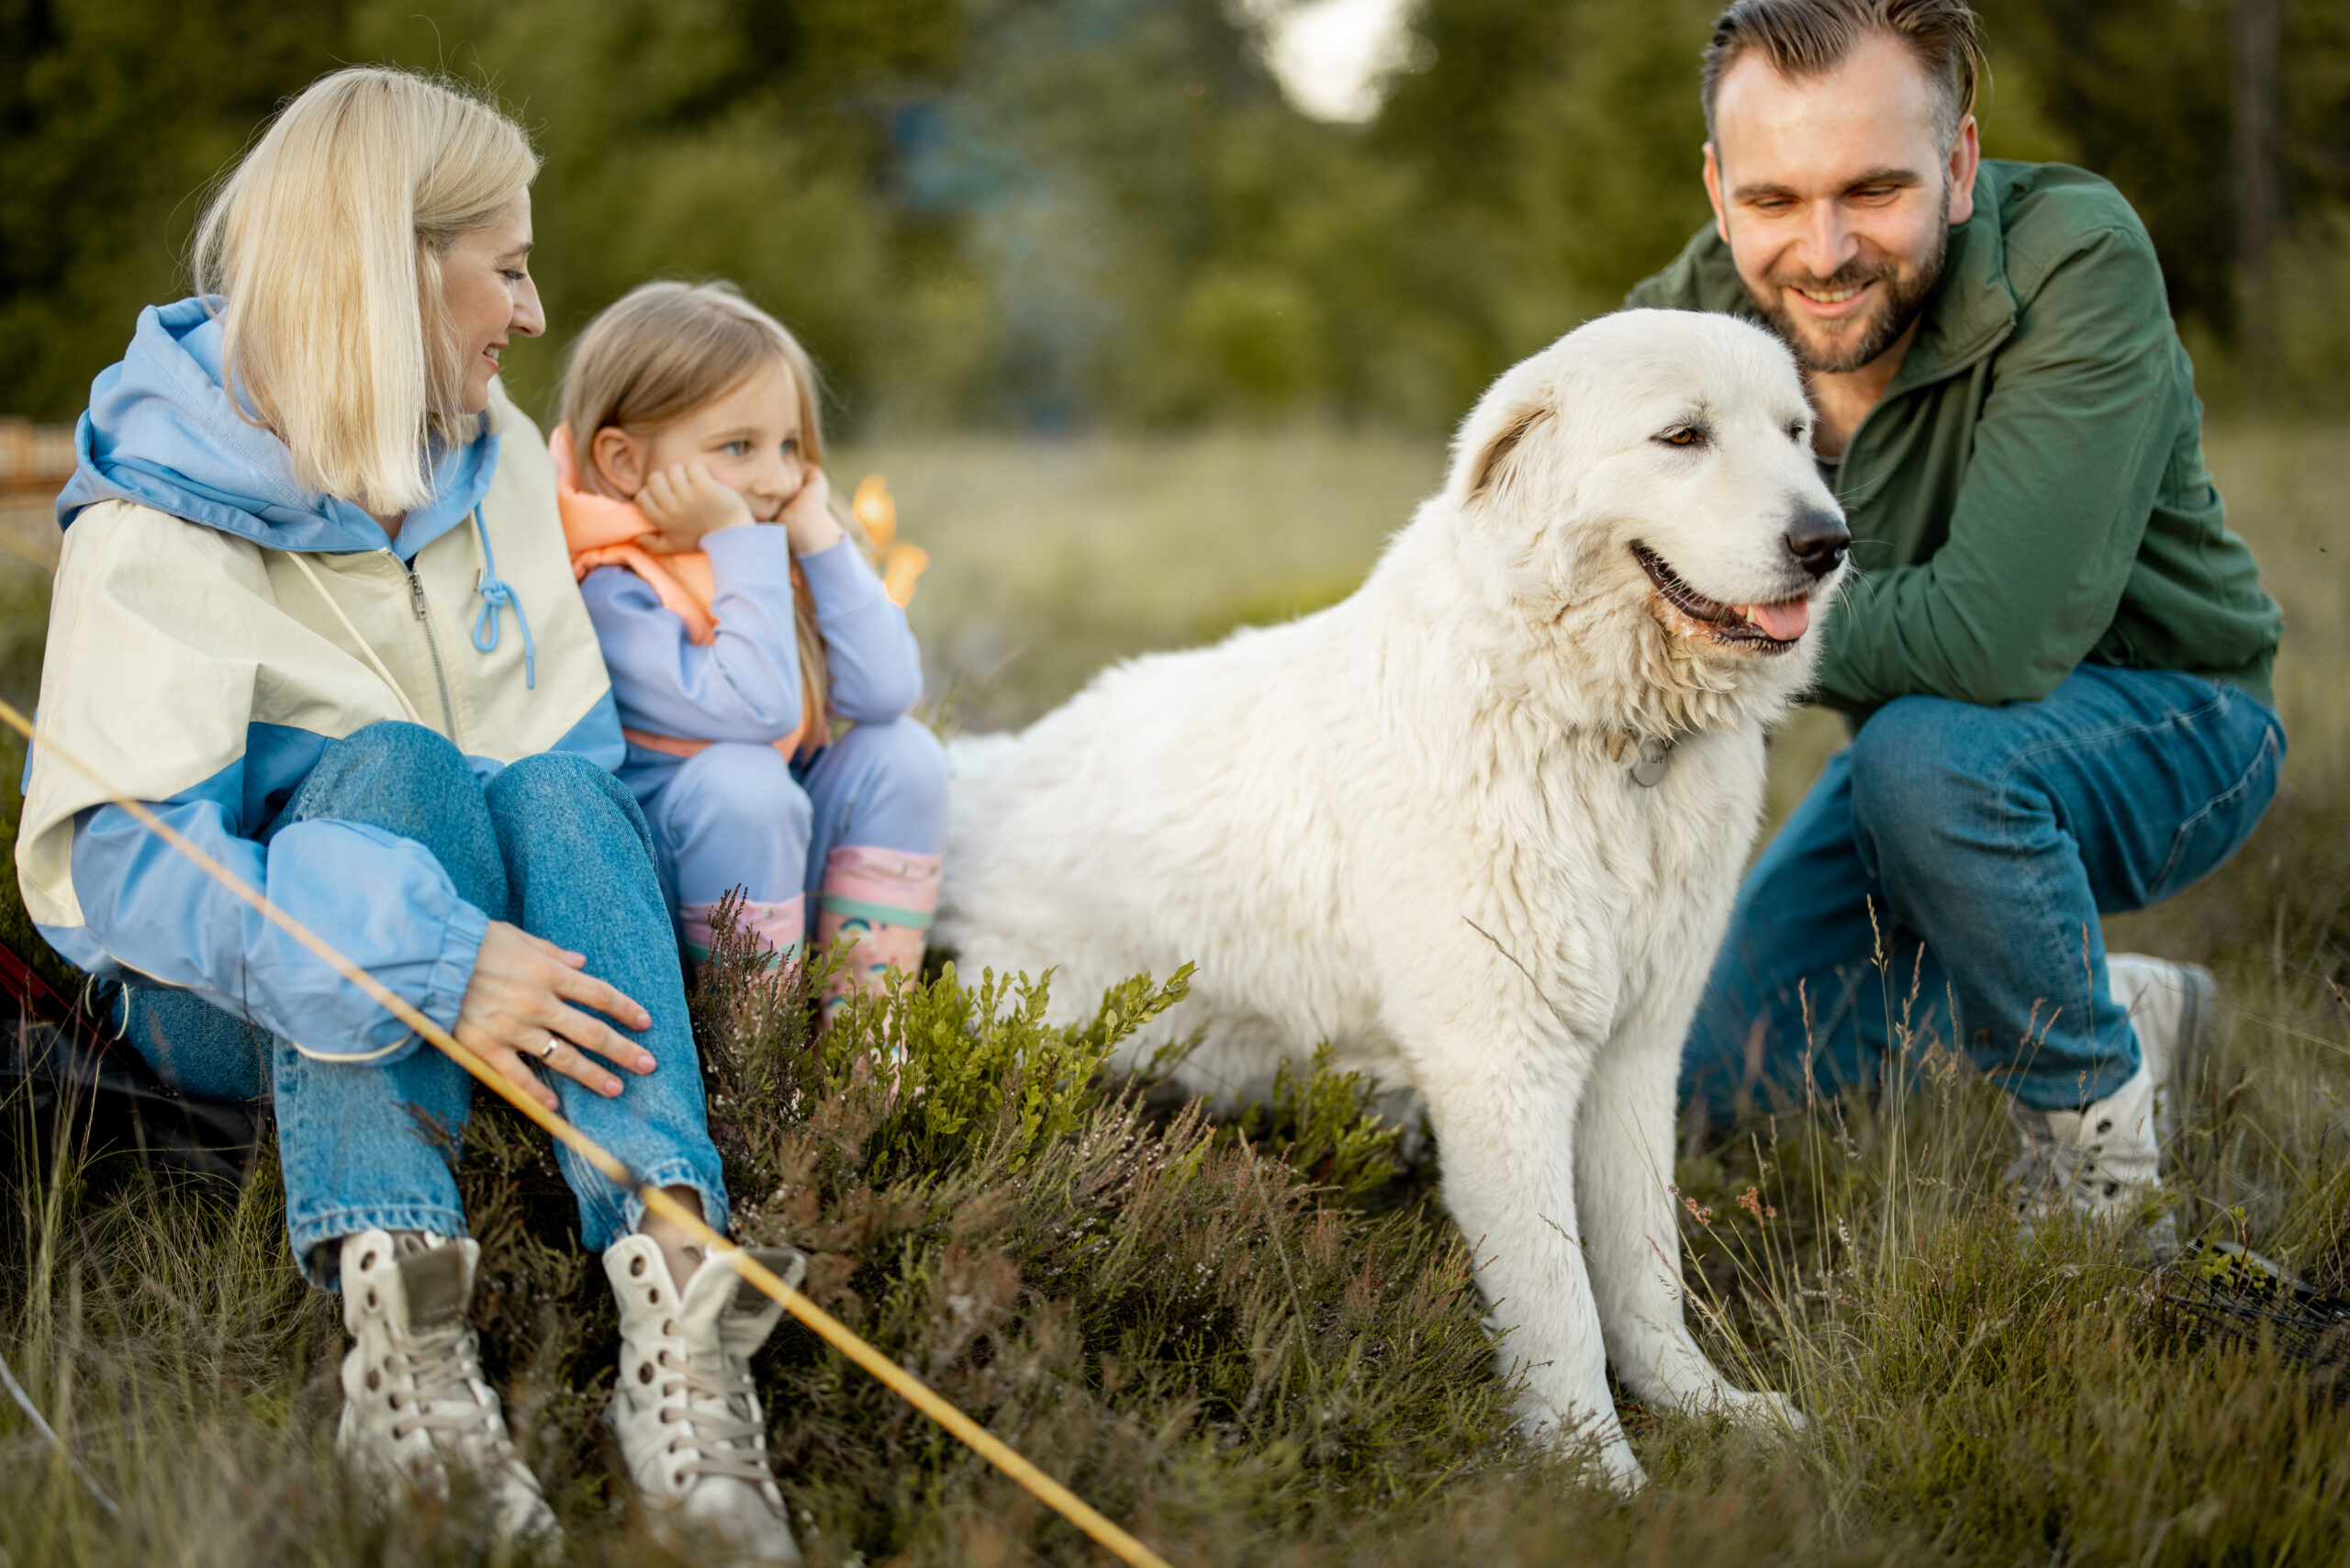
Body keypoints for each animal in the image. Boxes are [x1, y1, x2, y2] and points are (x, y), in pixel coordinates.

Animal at [934, 310, 1852, 1495]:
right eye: (1682, 436)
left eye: (1794, 434)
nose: (1827, 542)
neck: (1600, 736)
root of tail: (983, 775)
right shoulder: (1502, 1067)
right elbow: (1558, 1298)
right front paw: (1595, 1475)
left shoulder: (1635, 1050)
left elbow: (1644, 1267)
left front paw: (1703, 1406)